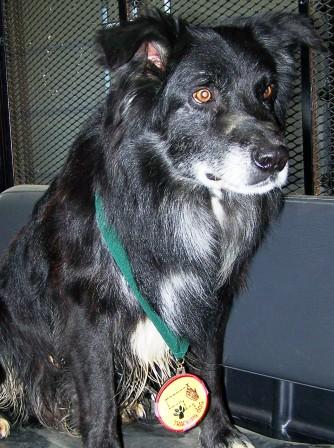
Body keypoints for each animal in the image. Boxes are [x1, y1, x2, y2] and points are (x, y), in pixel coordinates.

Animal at [0, 10, 320, 448]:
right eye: (202, 94)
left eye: (267, 90)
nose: (276, 159)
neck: (170, 193)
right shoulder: (87, 310)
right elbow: (98, 393)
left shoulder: (207, 299)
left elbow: (211, 371)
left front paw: (221, 433)